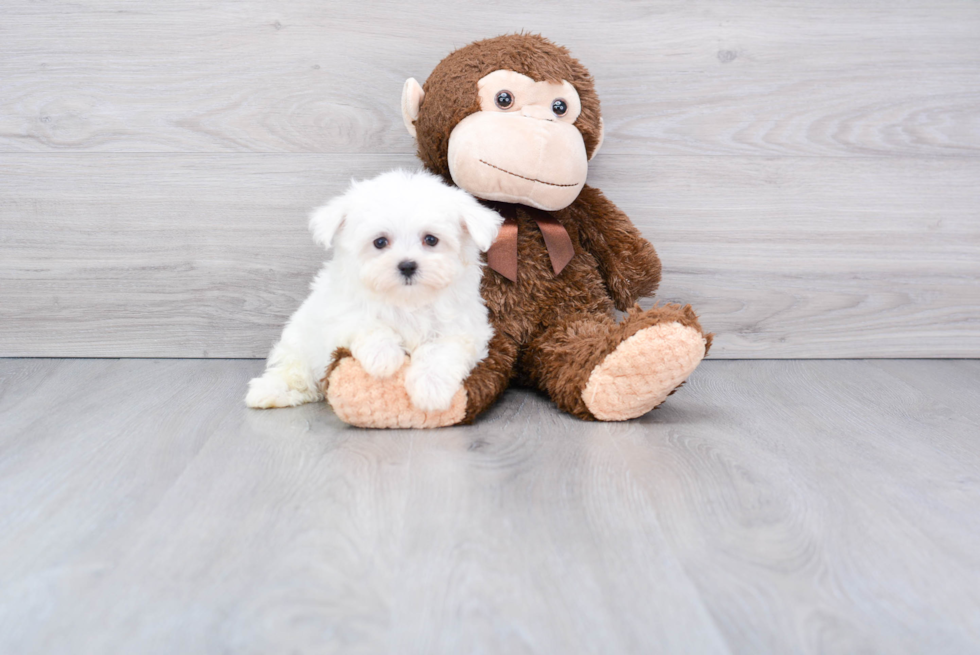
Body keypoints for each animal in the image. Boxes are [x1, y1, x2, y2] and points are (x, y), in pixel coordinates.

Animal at [249, 172, 502, 412]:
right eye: (380, 242)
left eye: (431, 239)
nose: (407, 265)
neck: (408, 300)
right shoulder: (340, 310)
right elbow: (365, 322)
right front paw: (383, 357)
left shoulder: (464, 328)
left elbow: (441, 350)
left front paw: (431, 389)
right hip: (300, 342)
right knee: (294, 371)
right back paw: (269, 391)